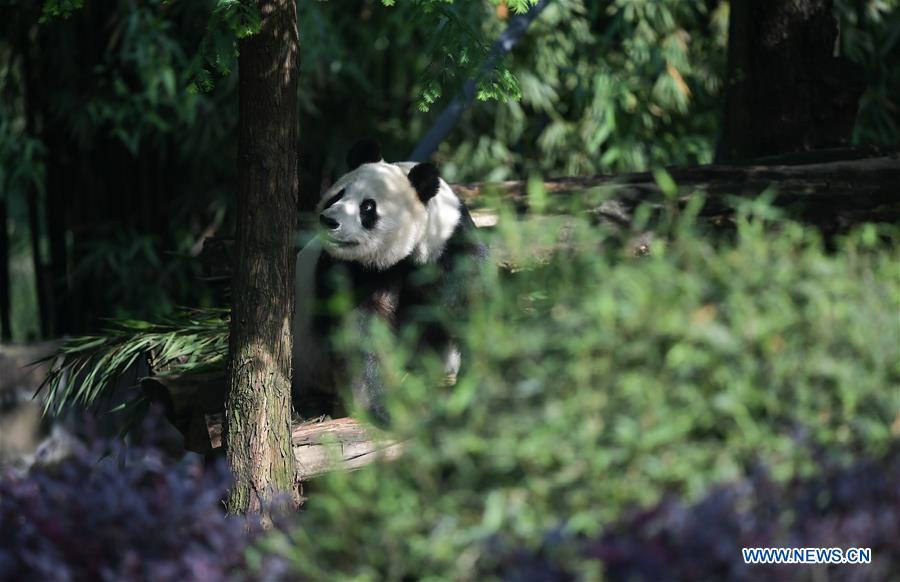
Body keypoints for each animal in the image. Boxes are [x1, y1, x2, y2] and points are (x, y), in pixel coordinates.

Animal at [292, 139, 487, 423]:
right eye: (337, 195)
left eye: (367, 207)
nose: (329, 220)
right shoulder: (352, 270)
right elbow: (362, 331)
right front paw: (385, 406)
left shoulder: (450, 246)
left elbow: (473, 307)